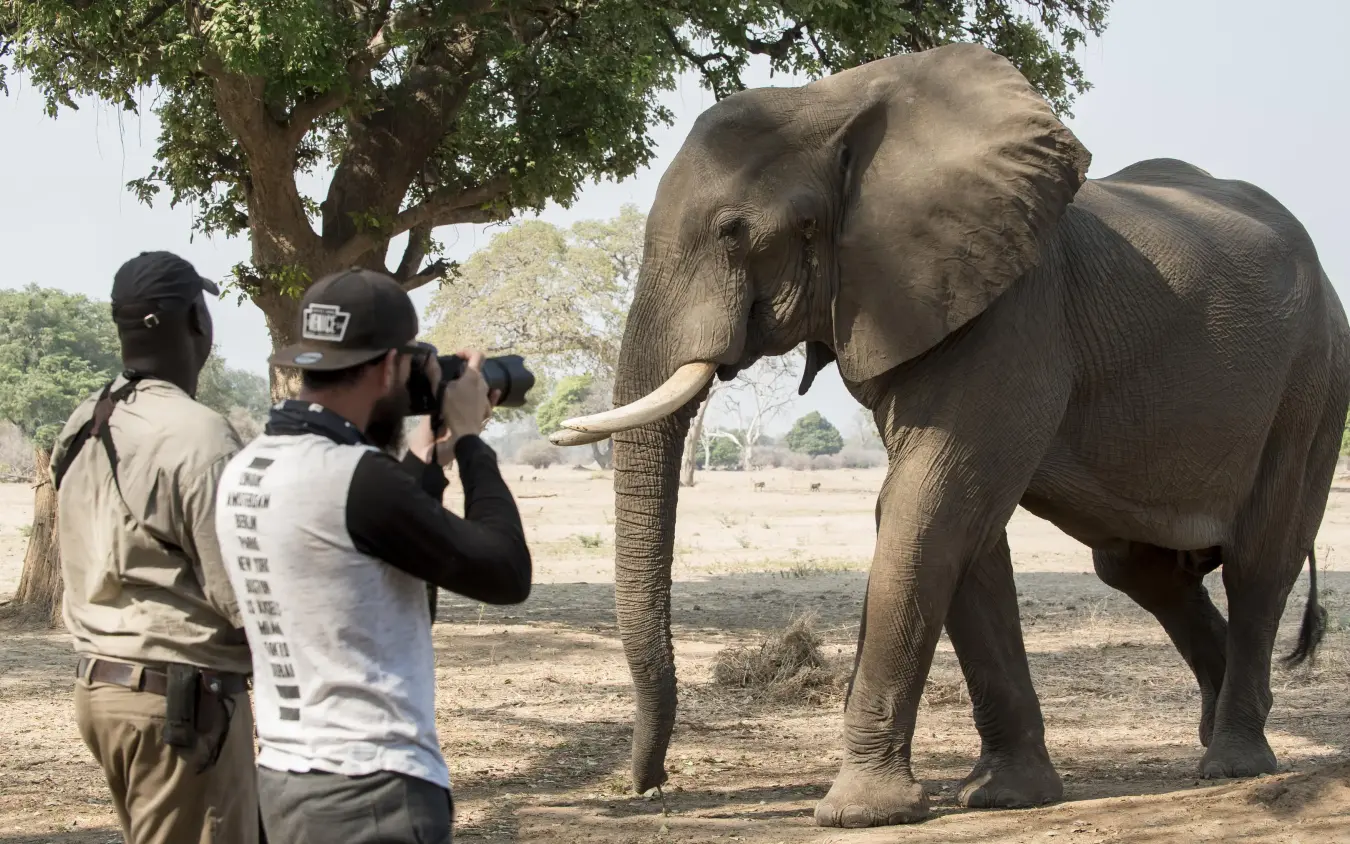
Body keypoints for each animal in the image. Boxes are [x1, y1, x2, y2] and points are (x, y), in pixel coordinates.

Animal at [549, 42, 1350, 828]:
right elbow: (962, 529)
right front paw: (1004, 796)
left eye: (731, 232)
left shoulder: (1011, 315)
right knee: (1140, 569)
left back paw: (1235, 761)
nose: (652, 787)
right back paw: (1216, 733)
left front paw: (860, 814)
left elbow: (924, 507)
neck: (837, 101)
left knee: (1258, 564)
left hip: (1312, 384)